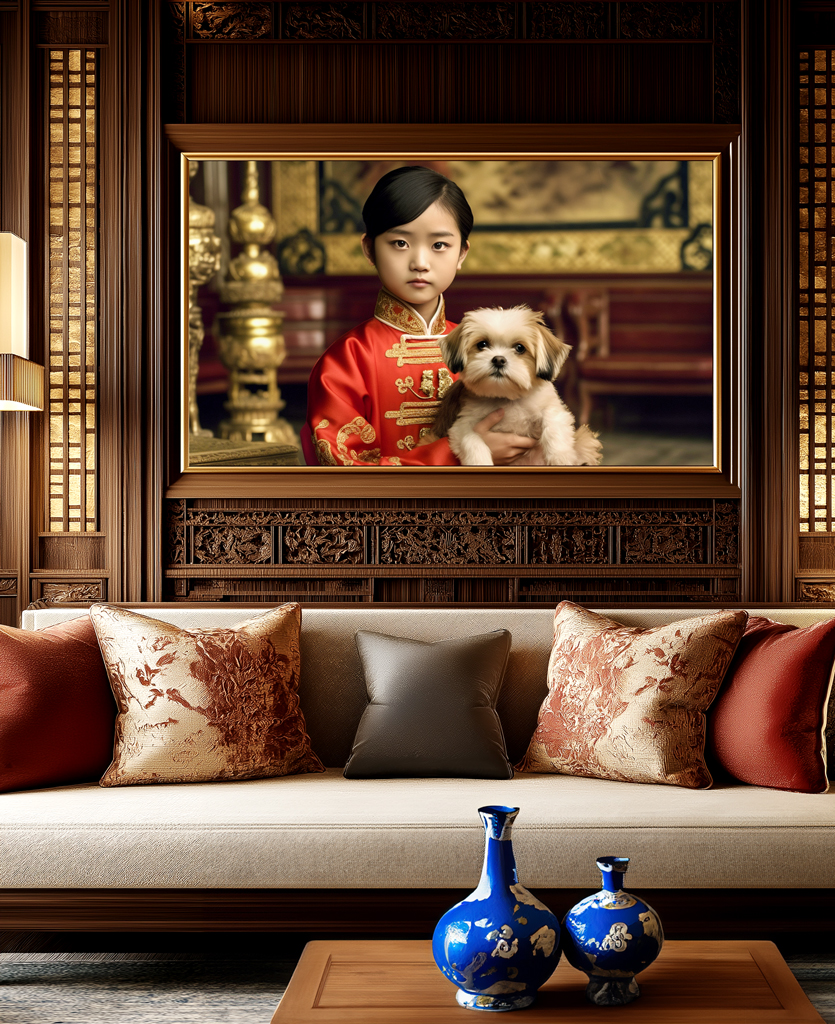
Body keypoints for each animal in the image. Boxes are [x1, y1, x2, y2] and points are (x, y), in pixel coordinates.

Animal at [430, 303, 602, 464]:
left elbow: (552, 422)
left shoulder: (552, 408)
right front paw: (480, 461)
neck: (507, 397)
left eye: (520, 348)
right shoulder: (461, 425)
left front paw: (559, 456)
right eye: (482, 344)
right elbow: (471, 439)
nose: (499, 359)